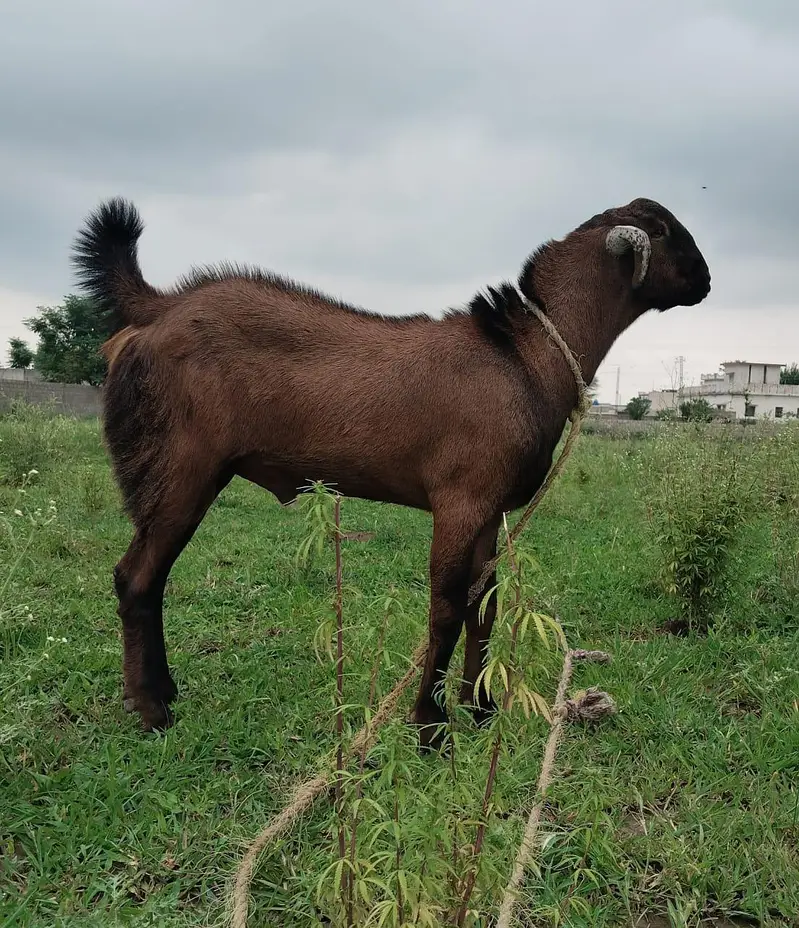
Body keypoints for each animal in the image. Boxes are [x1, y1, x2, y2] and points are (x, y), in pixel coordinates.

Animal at [72, 196, 710, 748]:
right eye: (662, 230)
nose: (705, 280)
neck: (522, 356)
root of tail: (160, 308)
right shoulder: (460, 498)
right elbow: (447, 607)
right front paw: (429, 725)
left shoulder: (489, 509)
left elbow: (484, 605)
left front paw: (481, 710)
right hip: (180, 466)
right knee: (137, 577)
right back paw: (151, 708)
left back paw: (163, 691)